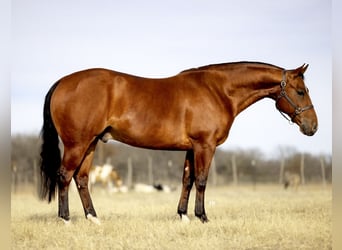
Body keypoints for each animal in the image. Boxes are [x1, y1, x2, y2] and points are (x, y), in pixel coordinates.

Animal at [39, 61, 318, 224]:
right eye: (300, 91)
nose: (313, 127)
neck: (218, 90)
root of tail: (63, 82)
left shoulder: (191, 148)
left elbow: (187, 179)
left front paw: (183, 215)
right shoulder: (205, 146)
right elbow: (202, 180)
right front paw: (202, 217)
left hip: (91, 143)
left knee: (81, 178)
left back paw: (94, 218)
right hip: (77, 144)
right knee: (65, 175)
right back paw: (65, 219)